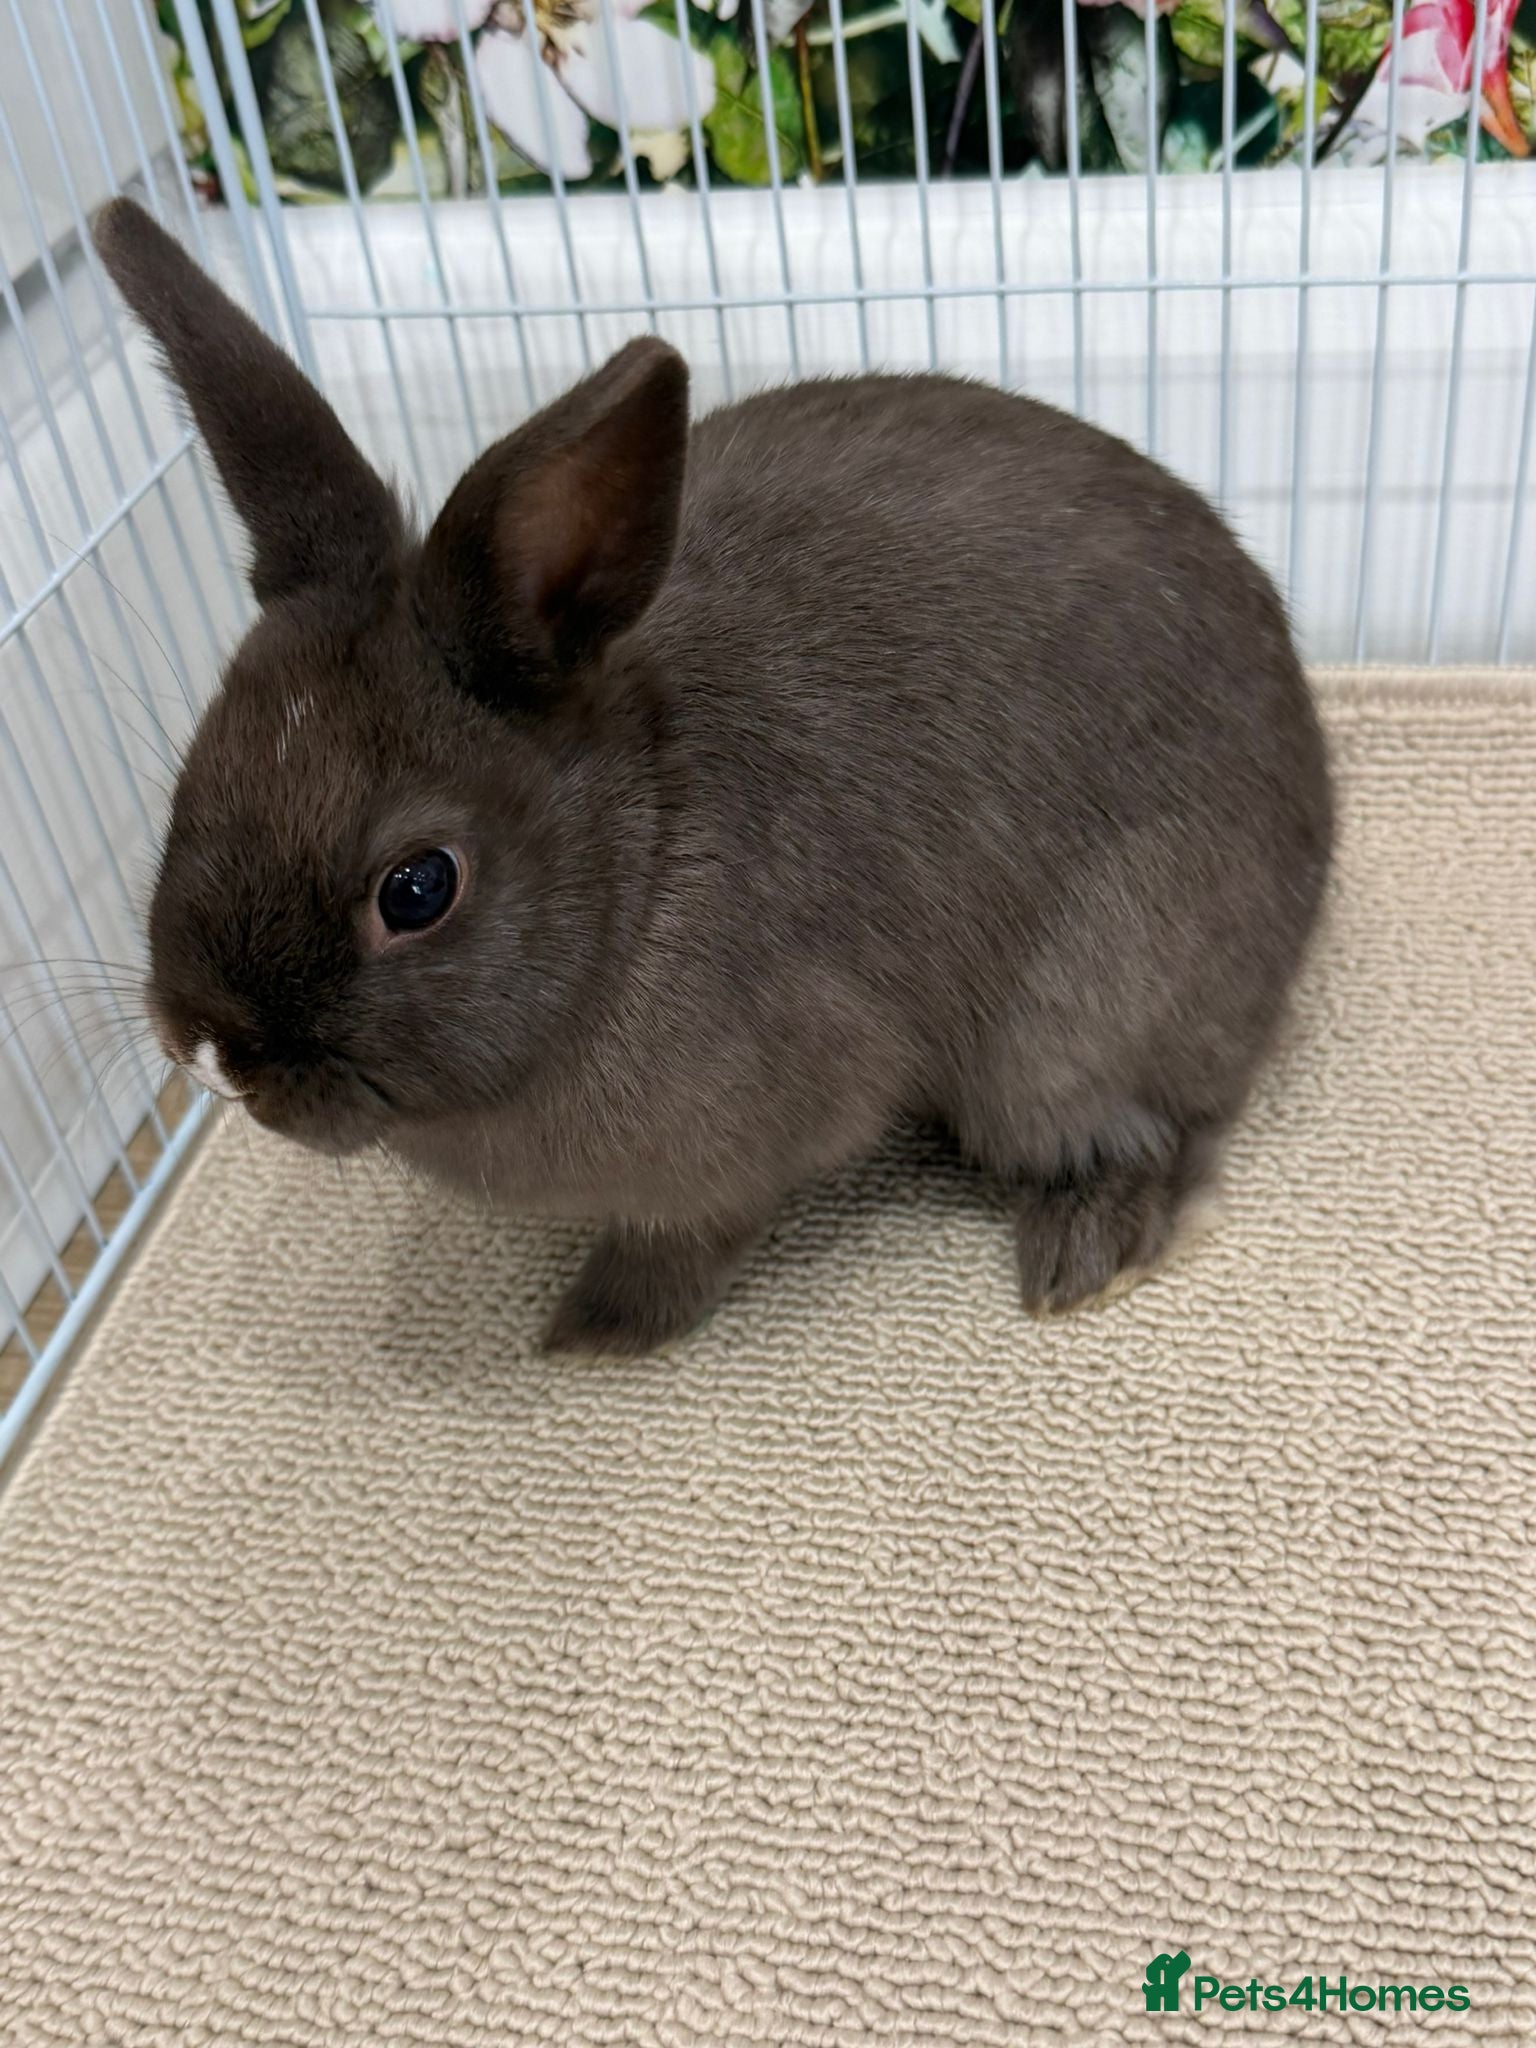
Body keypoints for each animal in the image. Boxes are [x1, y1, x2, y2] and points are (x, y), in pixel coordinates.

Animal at [95, 196, 1332, 1358]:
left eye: (418, 887)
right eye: (191, 783)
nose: (212, 1051)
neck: (635, 870)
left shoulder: (750, 1142)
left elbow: (689, 1239)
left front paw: (596, 1331)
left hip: (1070, 1024)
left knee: (1150, 1132)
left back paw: (1085, 1259)